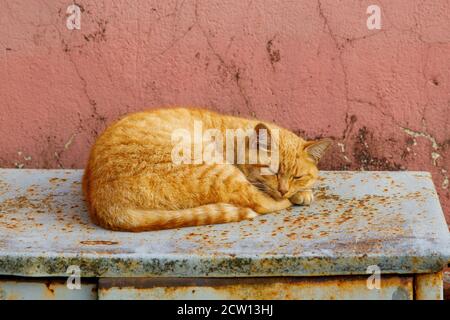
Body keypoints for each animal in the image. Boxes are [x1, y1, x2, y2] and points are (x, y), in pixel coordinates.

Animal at [83, 107, 330, 230]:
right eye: (273, 172)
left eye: (297, 176)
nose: (283, 190)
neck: (236, 138)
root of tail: (104, 205)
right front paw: (298, 196)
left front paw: (302, 191)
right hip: (216, 171)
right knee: (258, 203)